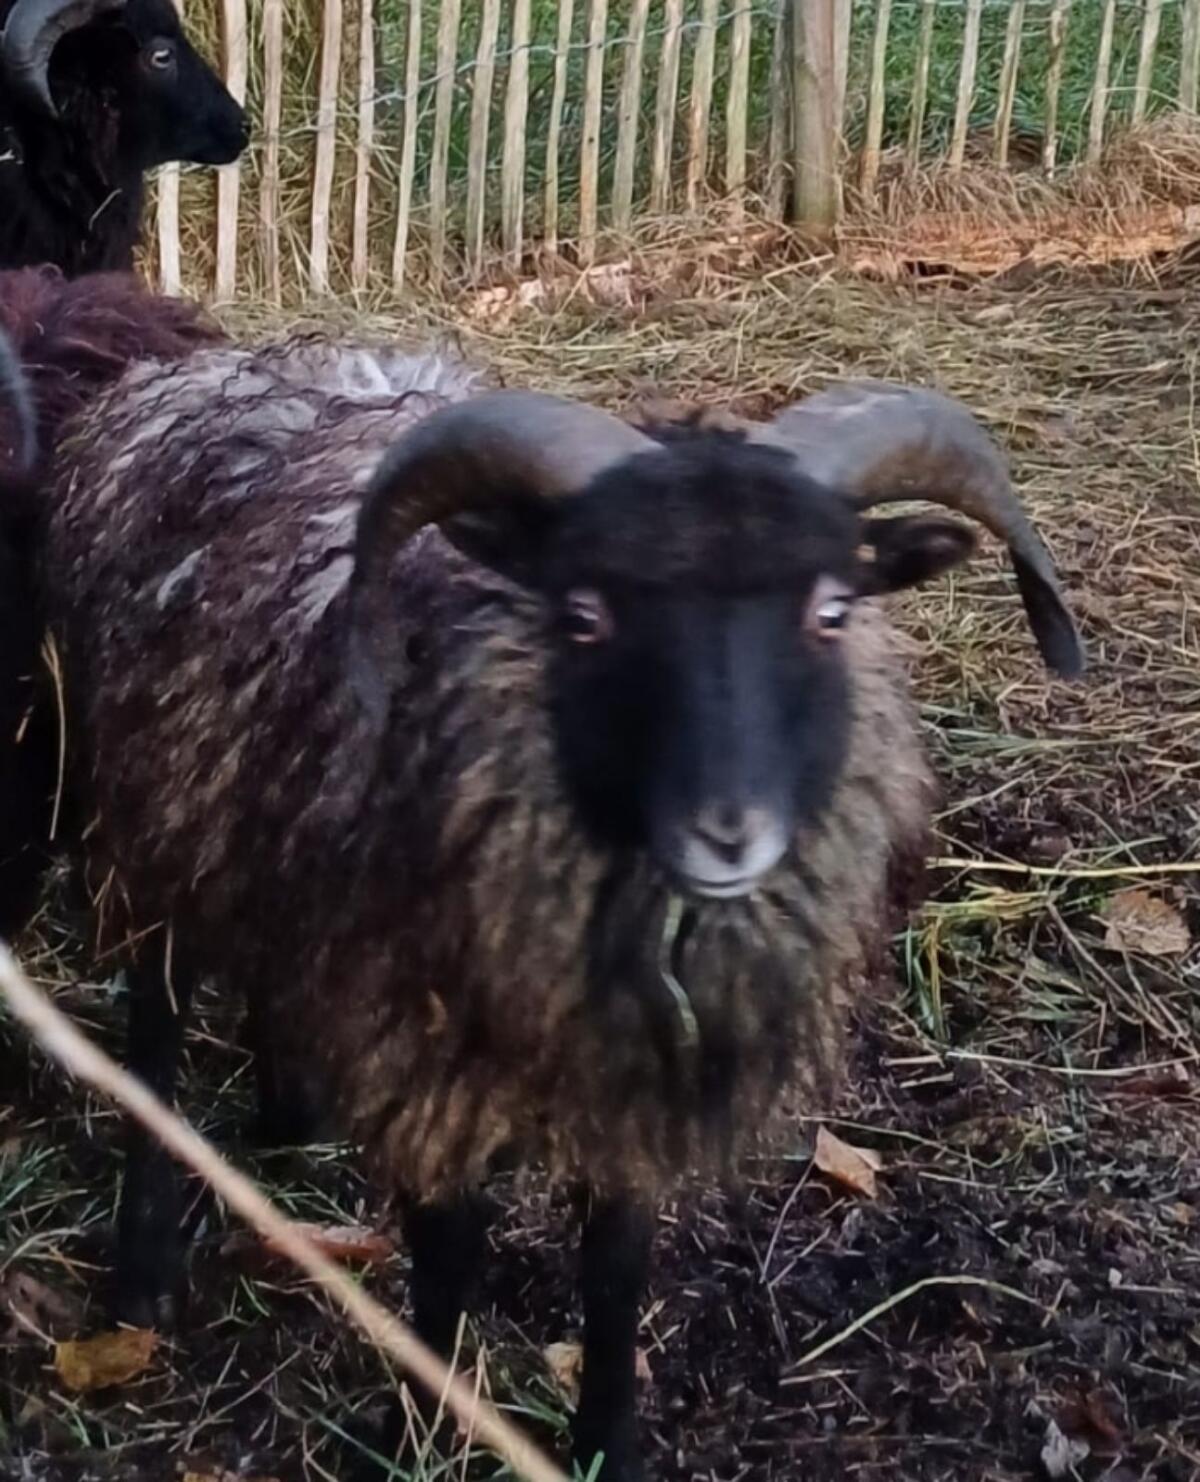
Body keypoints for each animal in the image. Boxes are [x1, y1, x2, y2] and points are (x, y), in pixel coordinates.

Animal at [36, 322, 1082, 1480]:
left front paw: (608, 1443)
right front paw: (424, 1427)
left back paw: (287, 1121)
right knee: (155, 1031)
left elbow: (618, 1266)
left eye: (832, 609)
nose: (728, 831)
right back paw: (141, 1276)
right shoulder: (428, 1053)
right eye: (583, 614)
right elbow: (447, 1254)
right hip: (152, 817)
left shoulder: (627, 1072)